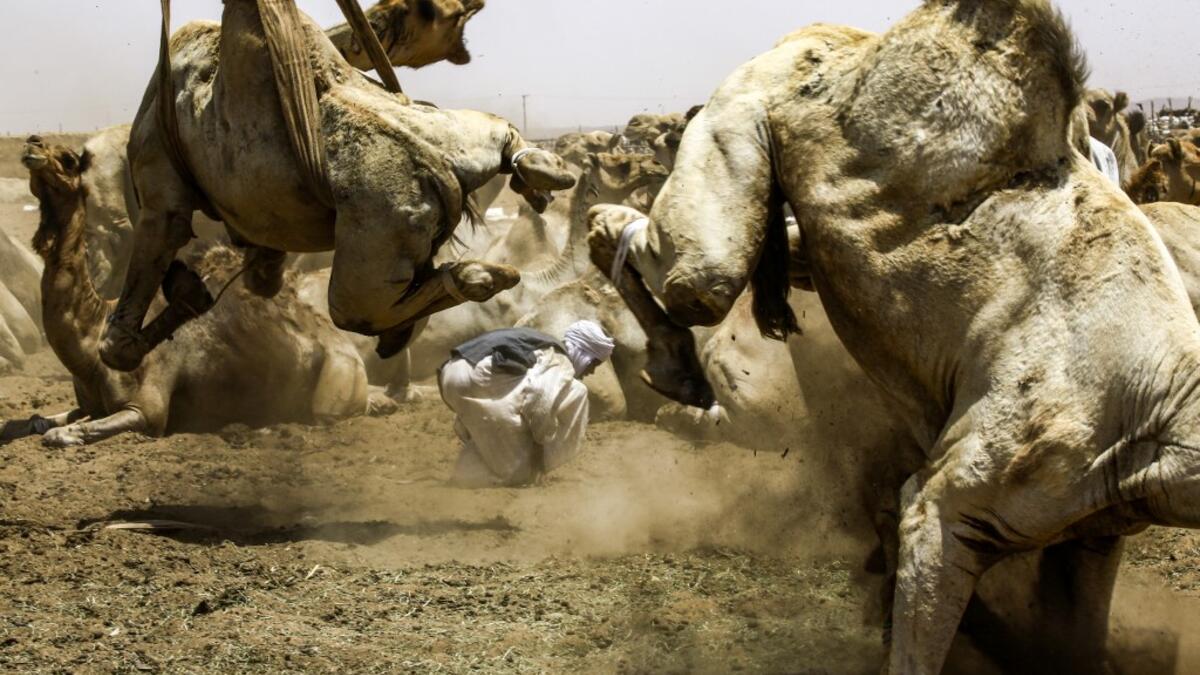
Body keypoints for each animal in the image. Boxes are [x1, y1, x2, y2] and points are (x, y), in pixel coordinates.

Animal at [2, 137, 377, 447]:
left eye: (68, 159)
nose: (32, 143)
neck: (93, 336)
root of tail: (348, 351)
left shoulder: (146, 411)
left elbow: (65, 432)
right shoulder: (87, 402)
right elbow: (42, 420)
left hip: (338, 378)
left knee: (321, 418)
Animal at [588, 2, 1200, 671]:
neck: (1160, 405)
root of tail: (829, 39)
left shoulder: (1094, 533)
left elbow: (1078, 634)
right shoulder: (959, 501)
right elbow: (920, 597)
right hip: (745, 104)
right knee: (700, 278)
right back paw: (623, 266)